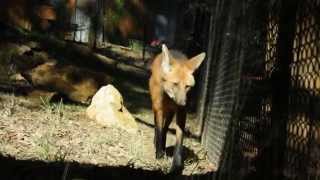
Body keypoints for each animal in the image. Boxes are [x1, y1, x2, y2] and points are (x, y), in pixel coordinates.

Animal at [149, 44, 206, 172]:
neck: (169, 99)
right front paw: (159, 155)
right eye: (175, 84)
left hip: (171, 113)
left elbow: (179, 139)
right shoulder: (159, 109)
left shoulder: (180, 113)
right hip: (157, 109)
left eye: (187, 86)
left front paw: (176, 165)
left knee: (165, 128)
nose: (183, 103)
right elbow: (158, 130)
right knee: (159, 128)